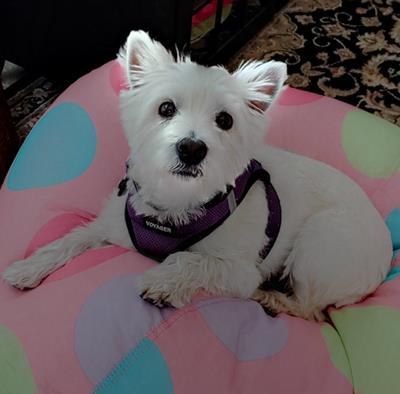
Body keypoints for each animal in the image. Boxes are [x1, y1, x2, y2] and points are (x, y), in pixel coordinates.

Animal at [2, 30, 390, 320]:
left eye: (225, 120)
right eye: (165, 108)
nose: (191, 148)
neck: (175, 203)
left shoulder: (240, 271)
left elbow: (192, 258)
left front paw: (163, 283)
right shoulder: (112, 225)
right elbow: (73, 237)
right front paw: (28, 267)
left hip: (322, 244)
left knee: (310, 308)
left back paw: (271, 299)